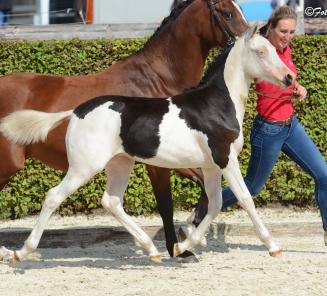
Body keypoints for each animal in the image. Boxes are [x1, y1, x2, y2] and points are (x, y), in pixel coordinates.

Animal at [0, 24, 296, 262]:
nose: (290, 78)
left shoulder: (211, 166)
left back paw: (151, 249)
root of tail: (76, 111)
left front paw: (182, 247)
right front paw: (273, 246)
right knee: (53, 197)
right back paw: (20, 252)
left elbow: (214, 204)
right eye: (260, 51)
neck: (215, 105)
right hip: (84, 167)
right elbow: (245, 198)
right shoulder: (226, 159)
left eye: (274, 48)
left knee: (111, 201)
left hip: (120, 164)